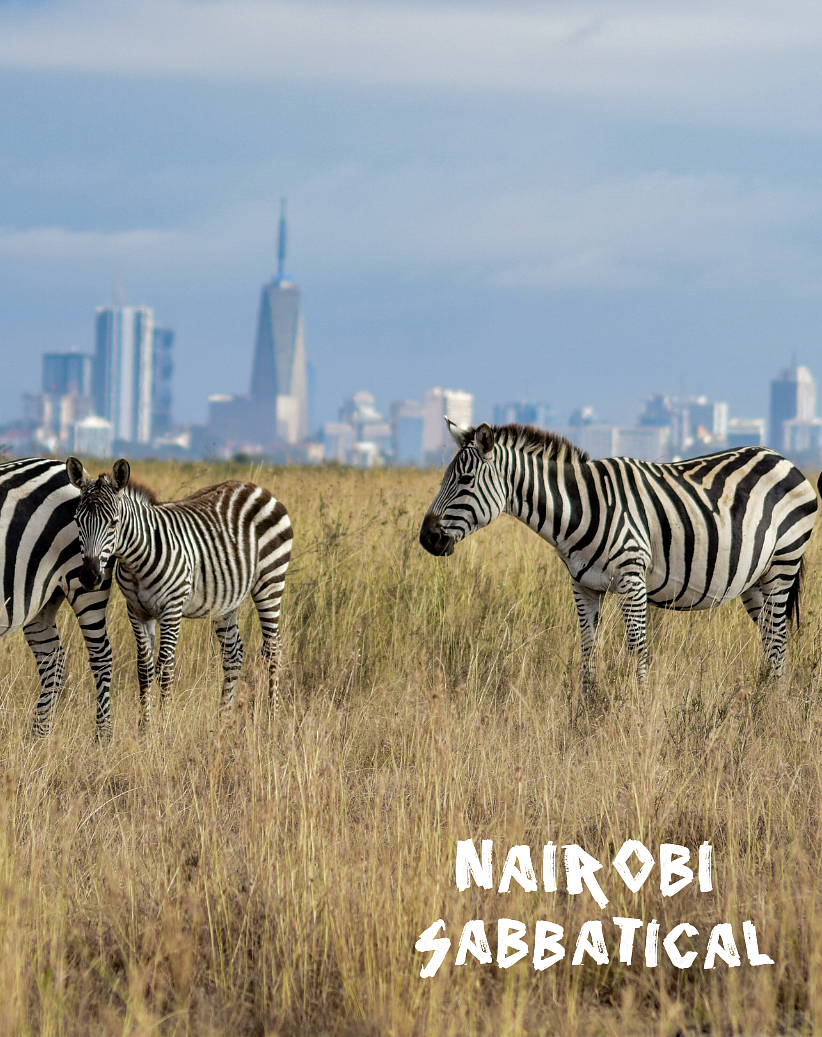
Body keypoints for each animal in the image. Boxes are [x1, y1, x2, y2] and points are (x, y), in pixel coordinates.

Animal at [0, 456, 113, 735]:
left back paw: (103, 736)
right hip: (40, 599)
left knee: (101, 656)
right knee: (52, 659)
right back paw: (37, 737)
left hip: (87, 585)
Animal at [66, 457, 293, 724]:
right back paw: (223, 720)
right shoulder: (136, 611)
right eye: (77, 521)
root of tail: (255, 487)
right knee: (233, 653)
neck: (136, 560)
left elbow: (165, 668)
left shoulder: (171, 609)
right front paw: (145, 727)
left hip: (270, 581)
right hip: (226, 598)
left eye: (113, 523)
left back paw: (272, 718)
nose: (89, 577)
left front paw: (163, 727)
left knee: (273, 649)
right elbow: (143, 668)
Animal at [420, 421, 818, 690]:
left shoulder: (632, 579)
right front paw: (586, 711)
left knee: (778, 640)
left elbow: (637, 649)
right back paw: (765, 698)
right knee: (771, 640)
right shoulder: (584, 586)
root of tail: (783, 458)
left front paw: (638, 711)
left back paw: (769, 707)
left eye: (465, 481)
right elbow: (587, 649)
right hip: (755, 580)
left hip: (783, 563)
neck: (579, 509)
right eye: (445, 478)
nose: (426, 538)